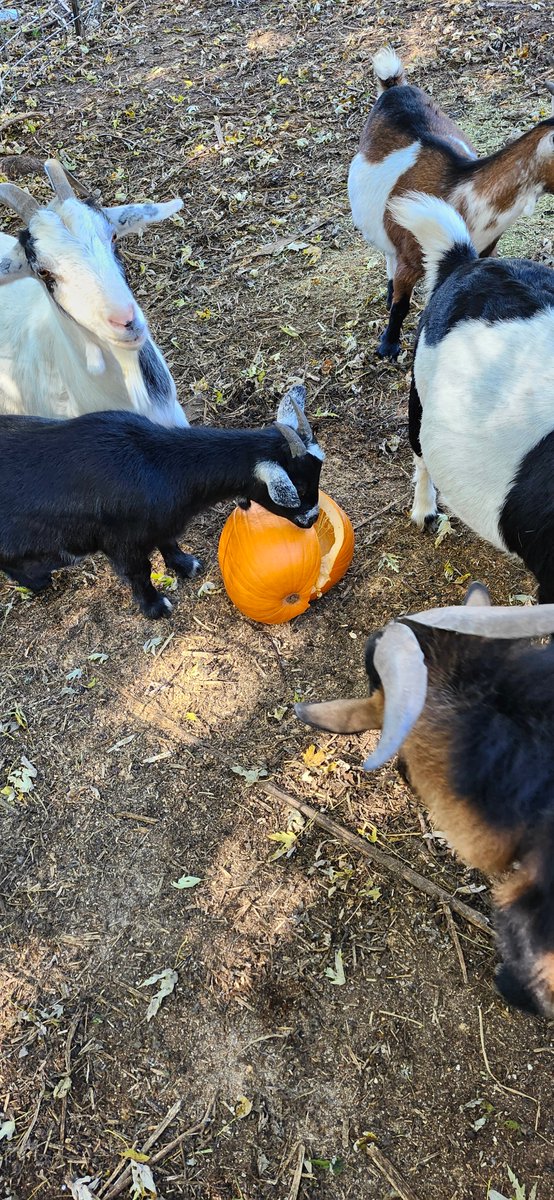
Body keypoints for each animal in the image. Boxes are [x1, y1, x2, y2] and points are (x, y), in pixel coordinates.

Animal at [0, 385, 324, 619]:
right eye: (298, 486)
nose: (312, 519)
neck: (159, 463)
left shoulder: (161, 523)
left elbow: (168, 541)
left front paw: (185, 565)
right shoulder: (121, 541)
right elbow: (139, 572)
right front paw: (156, 607)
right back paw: (38, 580)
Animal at [348, 46, 554, 359]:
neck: (463, 192)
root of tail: (394, 86)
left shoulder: (481, 253)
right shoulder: (410, 259)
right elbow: (401, 305)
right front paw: (388, 346)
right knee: (387, 254)